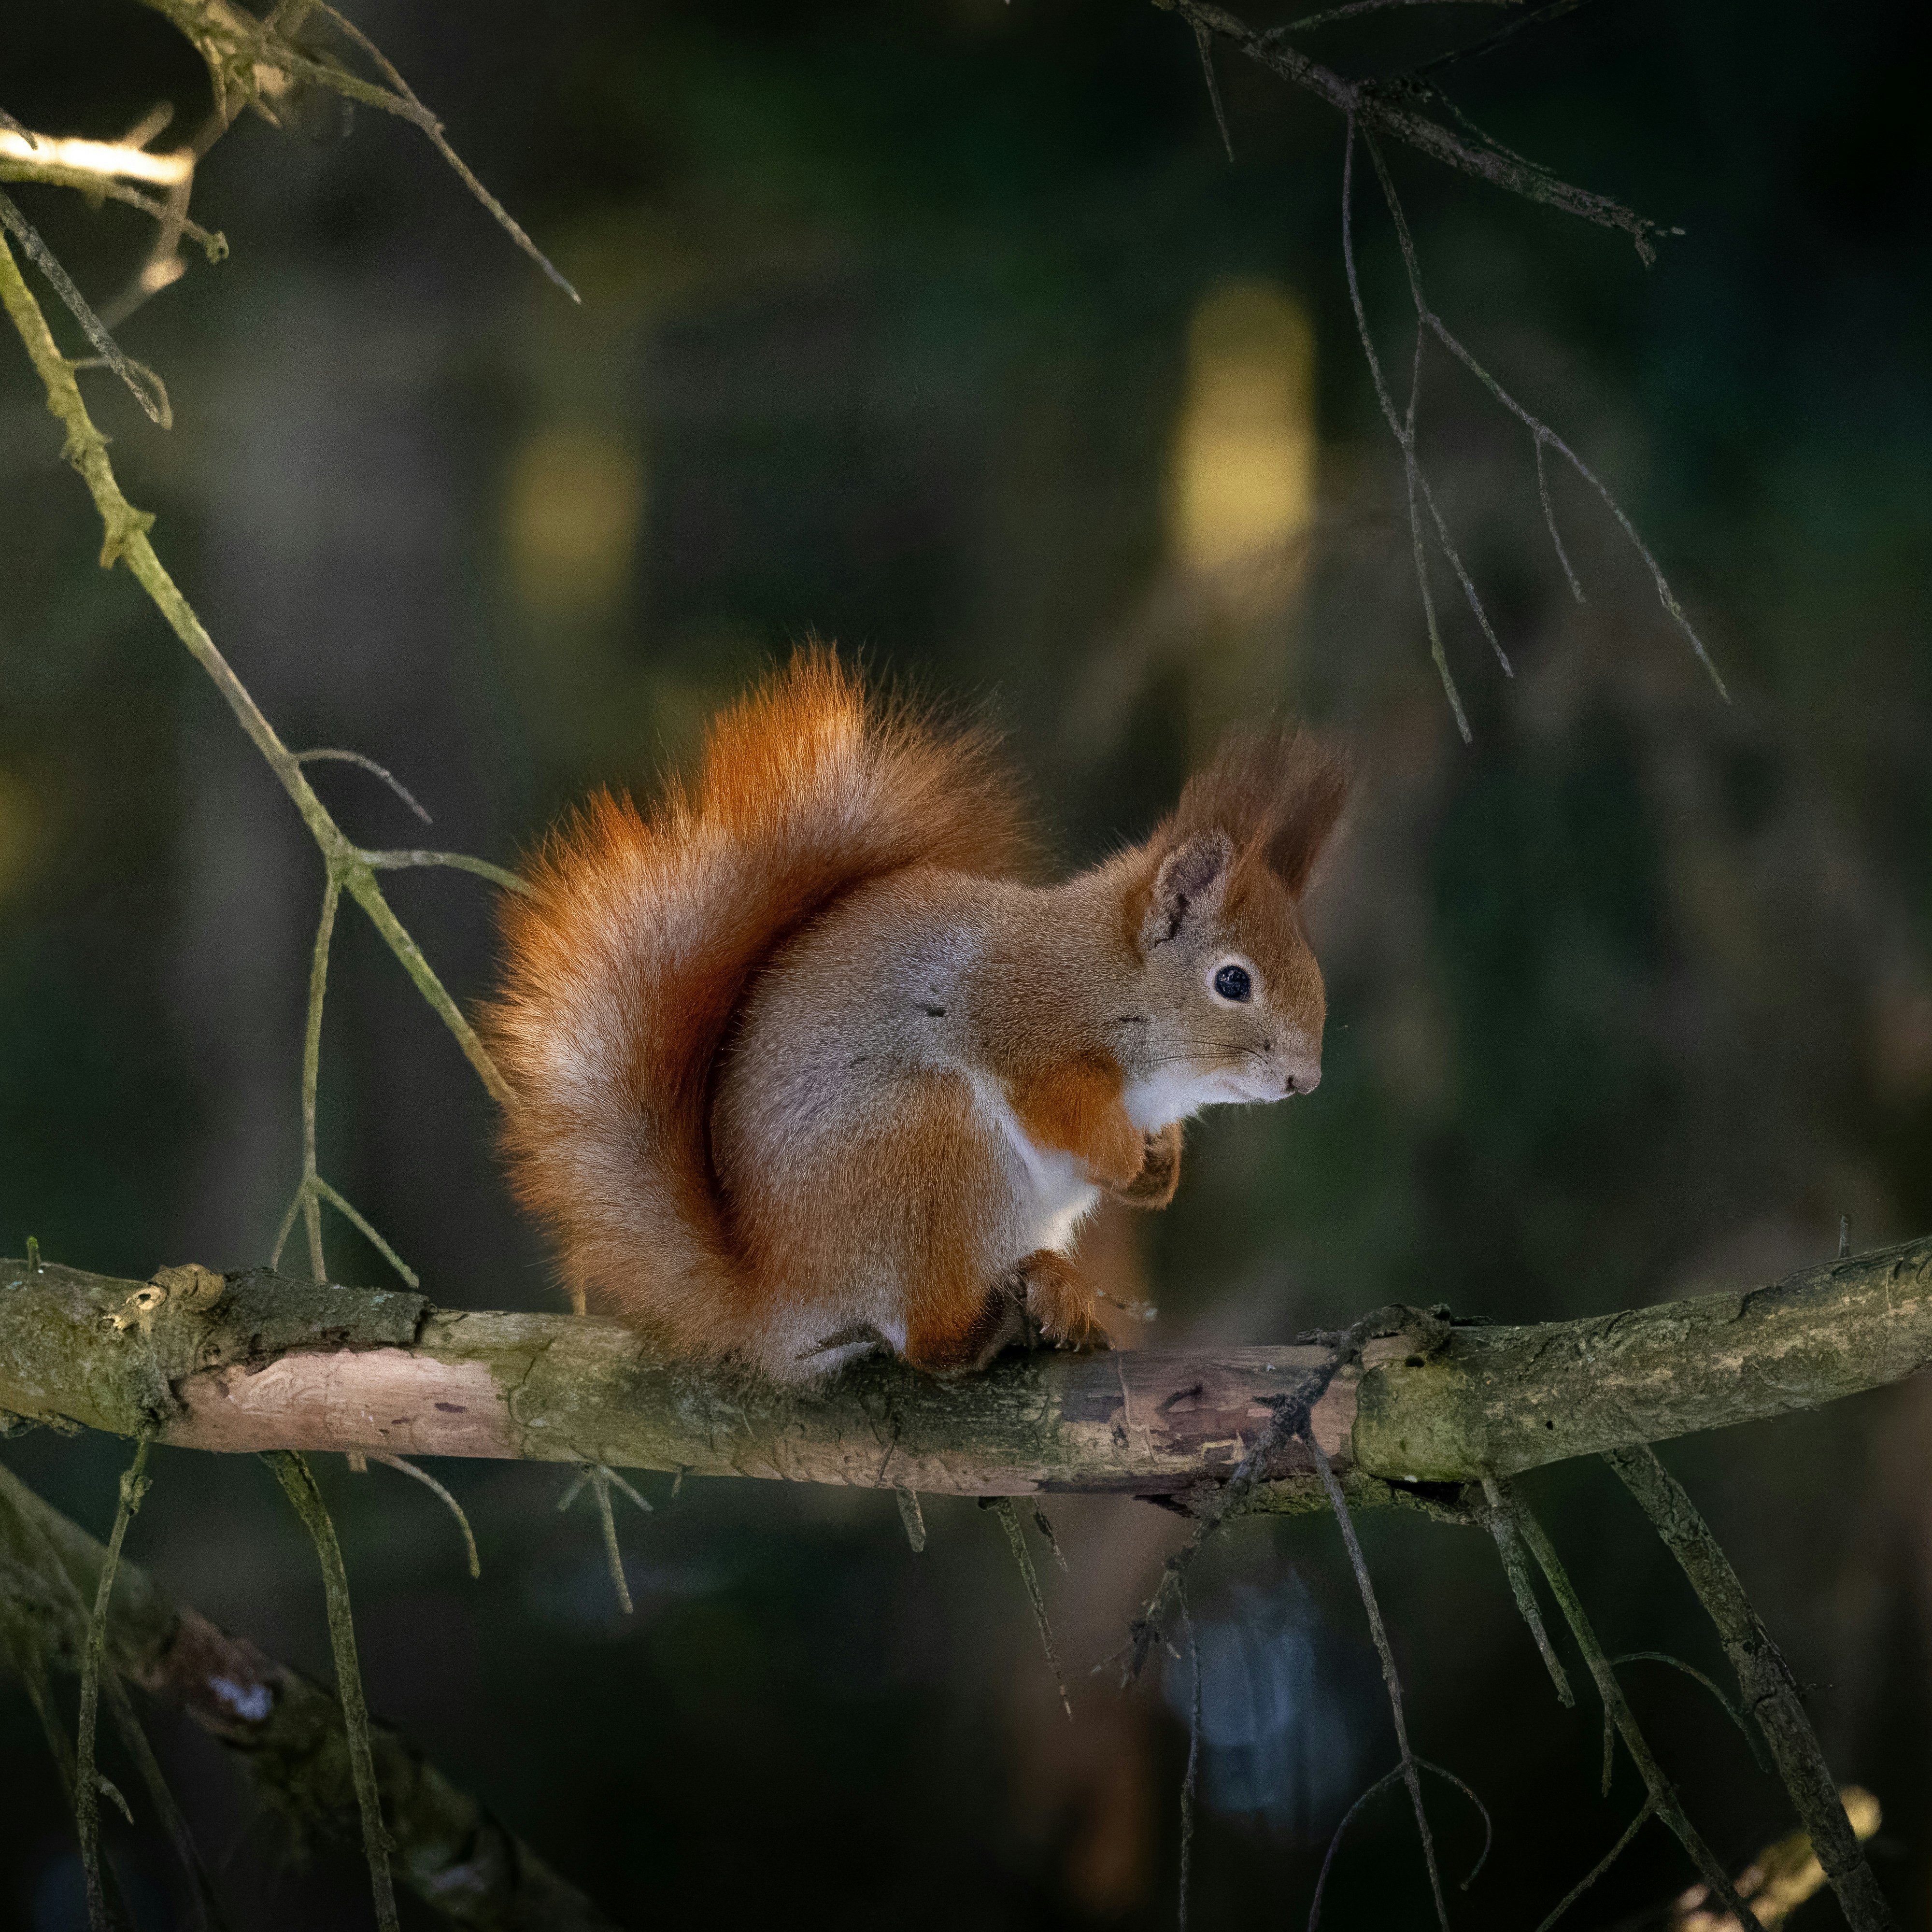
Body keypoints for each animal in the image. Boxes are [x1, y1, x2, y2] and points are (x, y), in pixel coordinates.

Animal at [483, 649, 1347, 1382]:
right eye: (1232, 981)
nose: (1306, 1081)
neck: (1109, 982)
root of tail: (778, 1302)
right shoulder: (1018, 1018)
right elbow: (1057, 1104)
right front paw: (1125, 1160)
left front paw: (1159, 1172)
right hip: (931, 1151)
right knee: (926, 1344)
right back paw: (988, 1328)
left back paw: (1053, 1296)